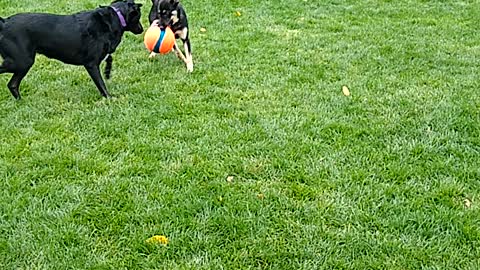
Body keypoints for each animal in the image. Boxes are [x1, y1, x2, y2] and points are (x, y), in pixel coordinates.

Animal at [0, 0, 142, 99]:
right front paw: (109, 98)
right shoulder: (91, 64)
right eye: (139, 16)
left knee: (12, 85)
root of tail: (4, 22)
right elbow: (101, 84)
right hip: (21, 62)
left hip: (21, 64)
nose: (141, 29)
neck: (115, 17)